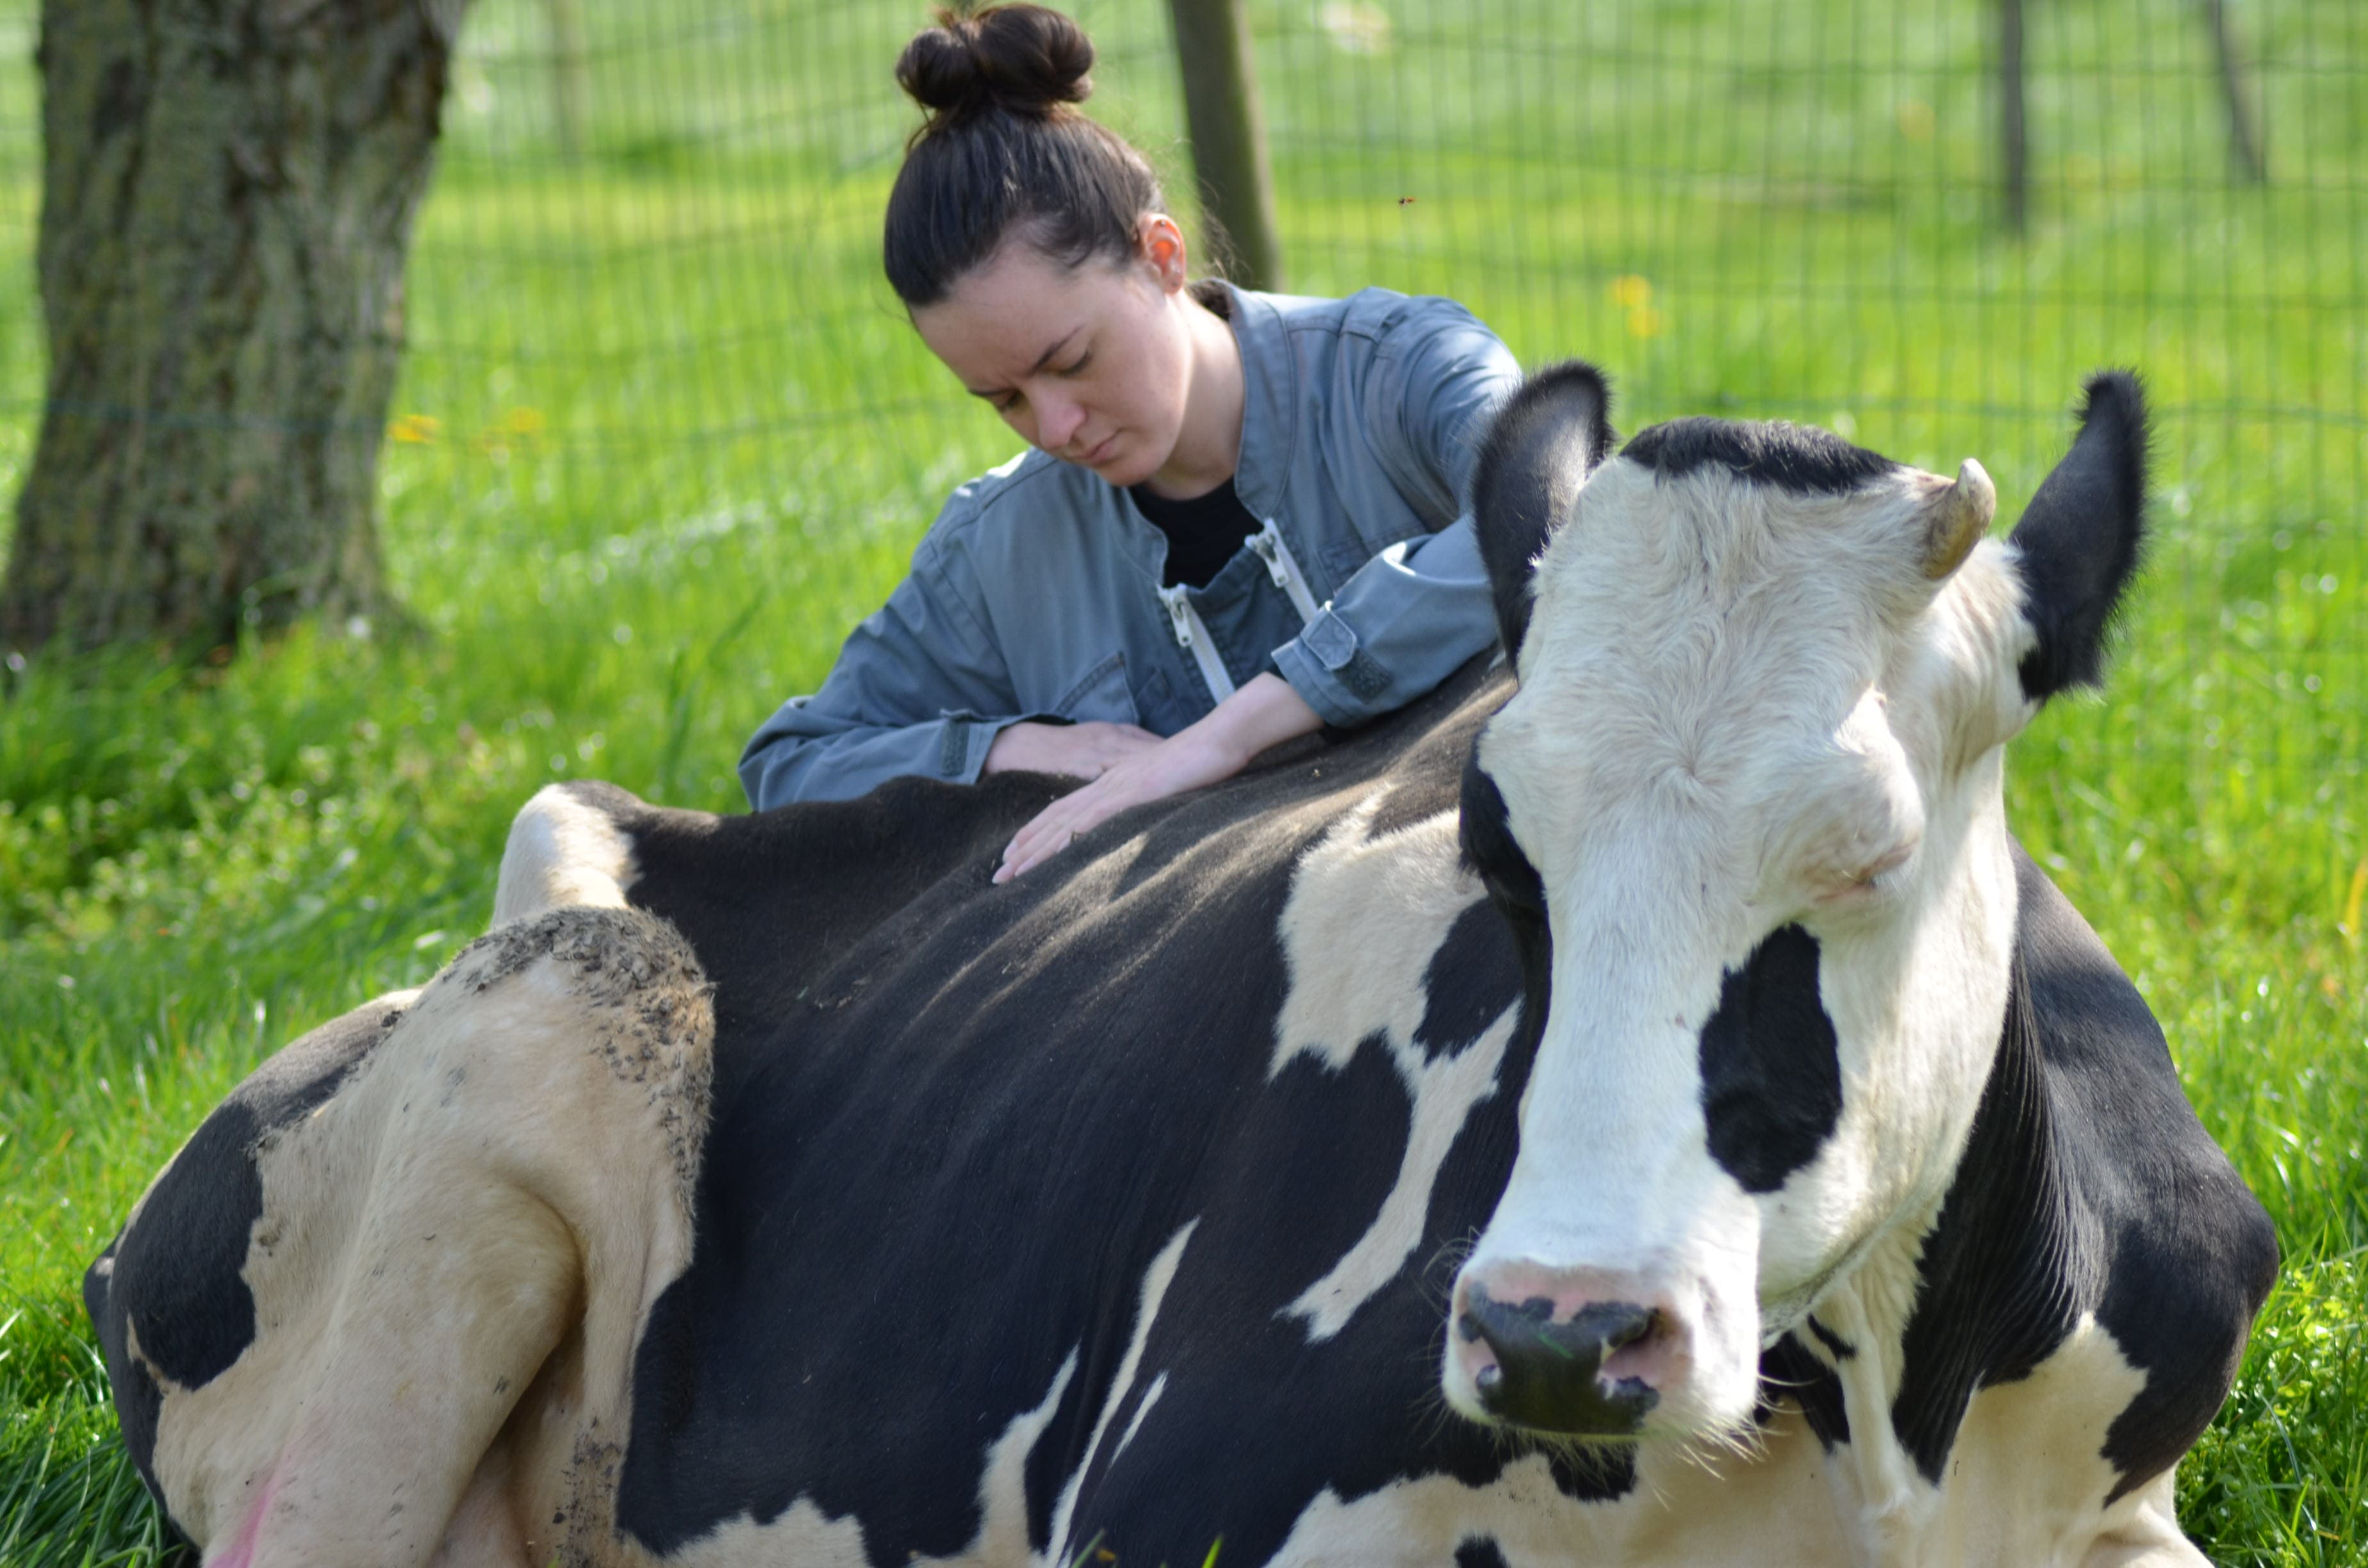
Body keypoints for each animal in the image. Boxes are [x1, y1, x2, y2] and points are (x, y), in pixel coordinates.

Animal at [87, 369, 2273, 1568]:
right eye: (1500, 847)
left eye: (1872, 849)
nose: (1561, 1337)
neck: (1896, 1429)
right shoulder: (1182, 1503)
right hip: (550, 1005)